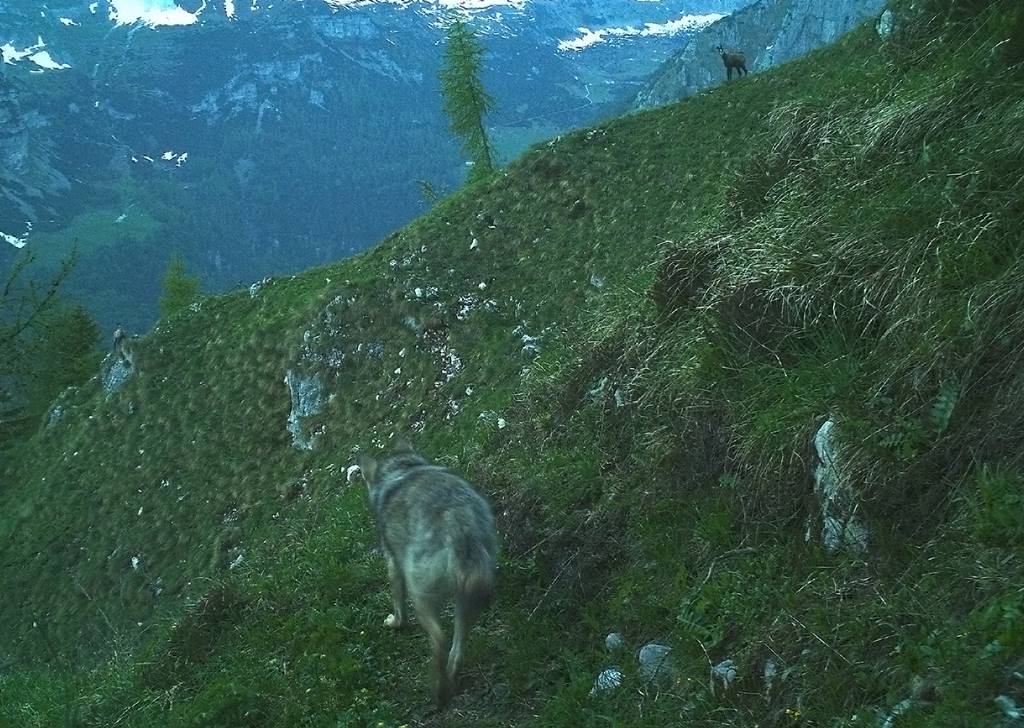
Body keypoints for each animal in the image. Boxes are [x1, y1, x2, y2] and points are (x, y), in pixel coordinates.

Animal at [358, 440, 498, 706]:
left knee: (439, 639)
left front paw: (395, 624)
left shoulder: (393, 564)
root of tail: (459, 524)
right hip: (467, 601)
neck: (402, 470)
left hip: (421, 597)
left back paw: (439, 690)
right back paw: (451, 678)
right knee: (456, 648)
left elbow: (398, 606)